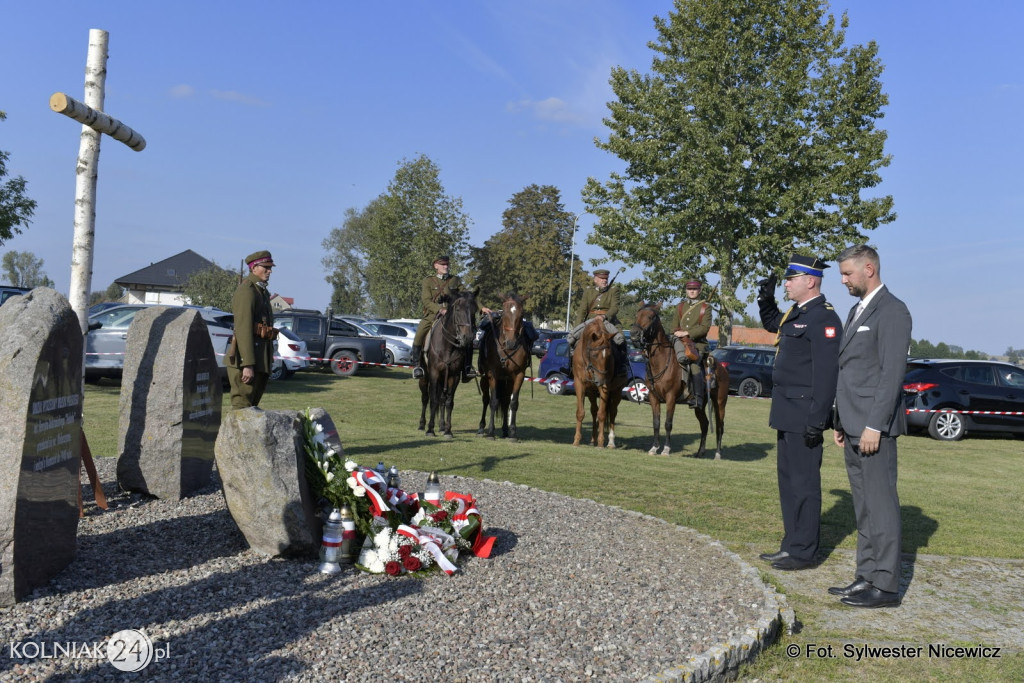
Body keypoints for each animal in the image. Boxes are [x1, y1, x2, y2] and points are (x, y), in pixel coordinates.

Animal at [415, 286, 479, 438]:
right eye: (458, 309)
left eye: (474, 310)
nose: (467, 337)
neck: (448, 346)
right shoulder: (434, 373)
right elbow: (433, 401)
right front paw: (430, 429)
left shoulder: (453, 376)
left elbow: (449, 402)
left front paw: (448, 430)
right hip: (425, 378)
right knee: (425, 398)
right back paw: (422, 424)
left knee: (442, 400)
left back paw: (442, 426)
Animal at [477, 290, 532, 440]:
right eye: (505, 313)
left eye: (522, 314)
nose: (511, 342)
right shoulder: (493, 375)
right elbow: (493, 401)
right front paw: (491, 432)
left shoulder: (519, 375)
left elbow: (513, 403)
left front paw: (513, 432)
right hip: (485, 378)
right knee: (485, 399)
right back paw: (482, 426)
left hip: (507, 381)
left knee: (506, 401)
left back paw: (505, 430)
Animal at [573, 319, 626, 448]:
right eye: (594, 355)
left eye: (609, 355)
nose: (600, 380)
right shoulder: (580, 384)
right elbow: (581, 412)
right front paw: (576, 440)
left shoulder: (605, 387)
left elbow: (602, 414)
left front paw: (601, 442)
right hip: (591, 391)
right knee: (594, 411)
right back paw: (593, 439)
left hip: (617, 392)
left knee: (612, 412)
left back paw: (611, 442)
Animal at [630, 305, 729, 458]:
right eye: (637, 315)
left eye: (650, 317)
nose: (634, 334)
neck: (661, 362)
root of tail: (722, 369)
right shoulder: (653, 397)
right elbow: (656, 423)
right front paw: (654, 448)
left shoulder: (671, 398)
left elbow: (668, 423)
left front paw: (666, 449)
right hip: (699, 406)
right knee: (705, 424)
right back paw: (700, 452)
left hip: (720, 403)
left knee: (719, 426)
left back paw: (717, 454)